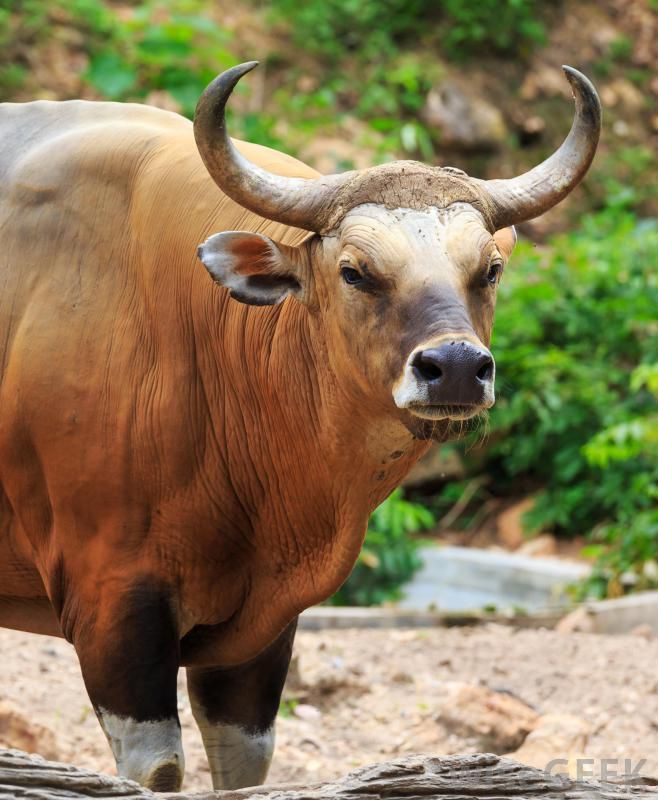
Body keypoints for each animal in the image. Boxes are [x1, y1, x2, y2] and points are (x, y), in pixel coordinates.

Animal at [0, 64, 600, 792]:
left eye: (489, 270)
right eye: (354, 271)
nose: (455, 368)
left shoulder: (266, 622)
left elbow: (245, 765)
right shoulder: (112, 600)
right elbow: (158, 770)